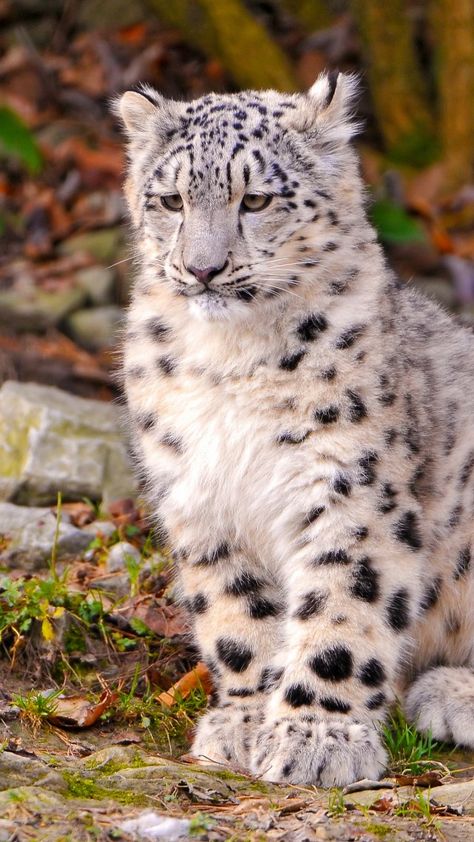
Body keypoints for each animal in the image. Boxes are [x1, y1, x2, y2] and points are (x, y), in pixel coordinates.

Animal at [116, 74, 474, 788]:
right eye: (170, 199)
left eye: (255, 198)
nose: (203, 268)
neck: (230, 360)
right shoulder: (200, 495)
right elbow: (236, 613)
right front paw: (246, 720)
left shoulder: (350, 487)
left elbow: (343, 606)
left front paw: (317, 737)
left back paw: (448, 695)